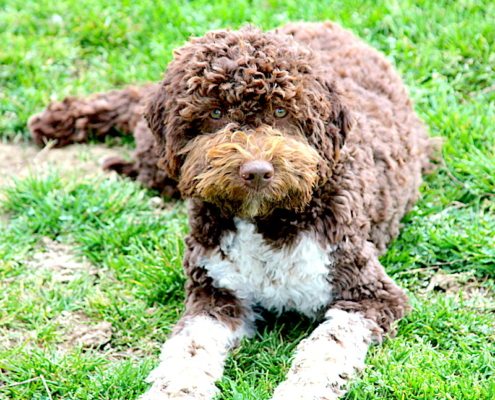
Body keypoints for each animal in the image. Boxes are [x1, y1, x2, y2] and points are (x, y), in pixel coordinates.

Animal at [30, 21, 434, 400]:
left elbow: (326, 348)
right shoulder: (215, 292)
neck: (265, 221)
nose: (256, 171)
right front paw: (174, 390)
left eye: (282, 110)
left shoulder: (368, 294)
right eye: (216, 113)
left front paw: (301, 390)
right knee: (134, 100)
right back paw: (60, 120)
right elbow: (189, 348)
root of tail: (324, 25)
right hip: (158, 160)